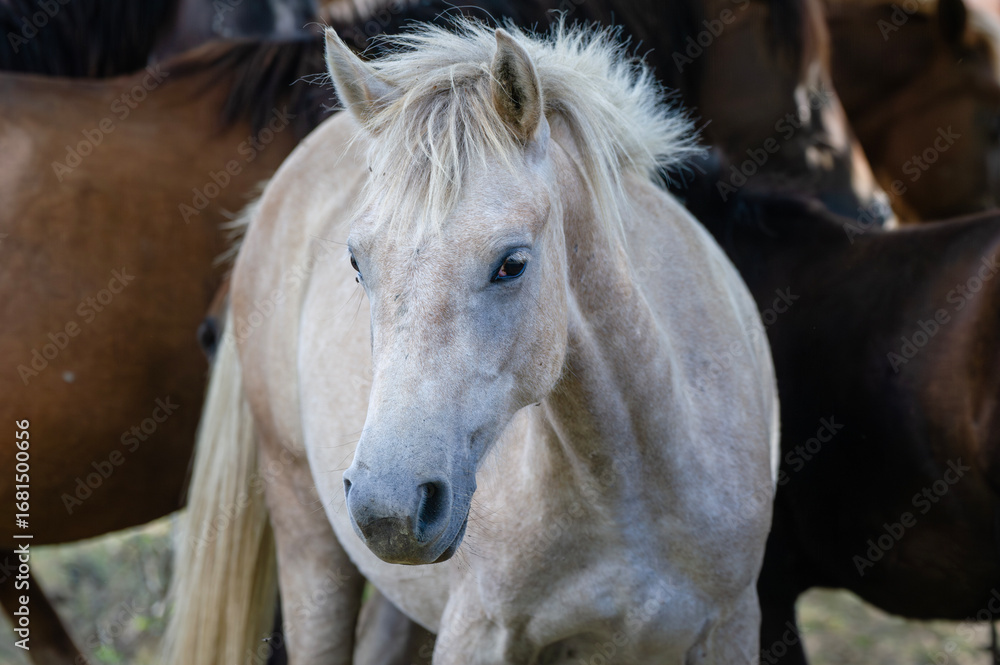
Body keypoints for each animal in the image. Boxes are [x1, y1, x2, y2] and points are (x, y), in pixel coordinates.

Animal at [164, 19, 780, 664]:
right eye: (356, 263)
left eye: (512, 264)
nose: (388, 506)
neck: (633, 485)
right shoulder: (476, 632)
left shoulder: (733, 627)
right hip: (307, 540)